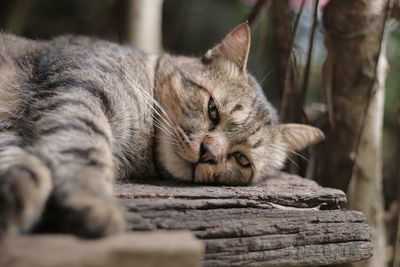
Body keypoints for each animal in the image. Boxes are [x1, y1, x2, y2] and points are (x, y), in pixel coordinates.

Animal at [0, 24, 324, 239]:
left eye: (241, 159)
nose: (208, 153)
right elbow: (83, 147)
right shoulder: (79, 90)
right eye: (213, 110)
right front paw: (92, 200)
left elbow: (21, 160)